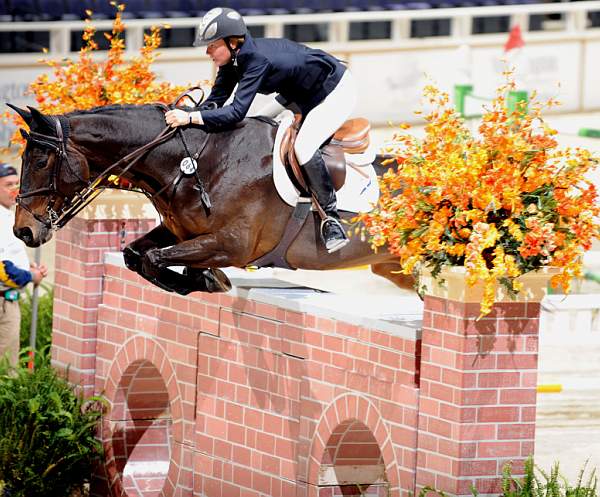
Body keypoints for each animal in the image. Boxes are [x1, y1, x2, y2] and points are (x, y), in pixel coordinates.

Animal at [8, 102, 412, 292]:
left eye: (41, 161)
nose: (23, 231)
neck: (191, 163)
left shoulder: (231, 245)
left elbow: (153, 259)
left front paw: (210, 280)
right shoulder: (181, 232)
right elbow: (135, 255)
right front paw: (201, 279)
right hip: (395, 269)